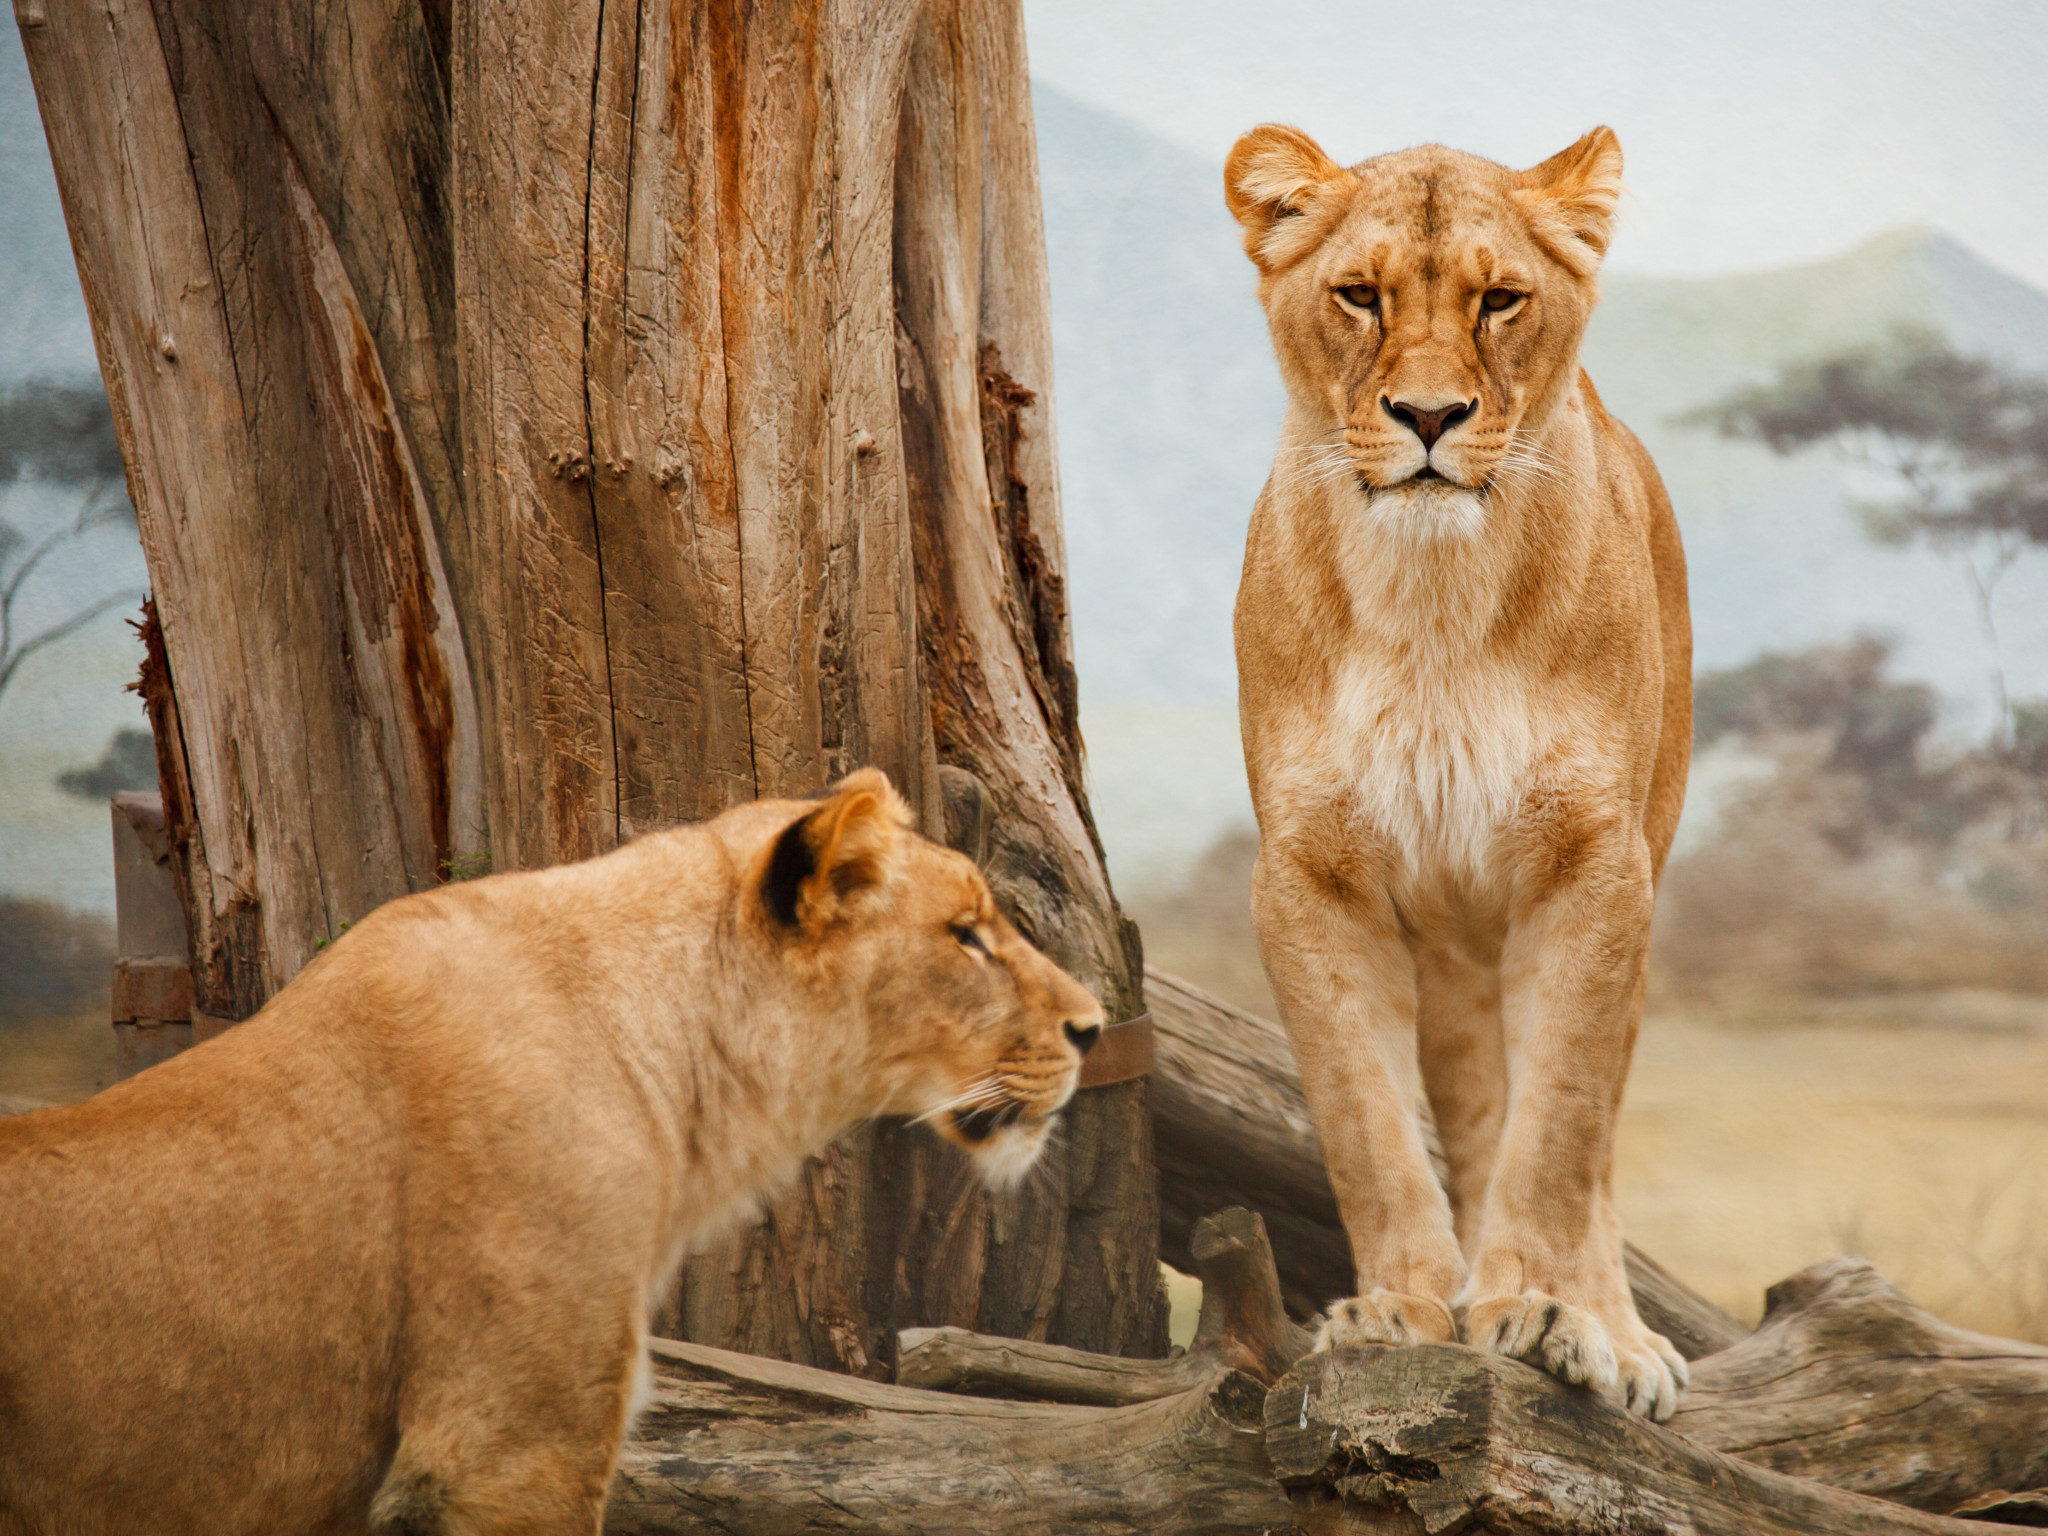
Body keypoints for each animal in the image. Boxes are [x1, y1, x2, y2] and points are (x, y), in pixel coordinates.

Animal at [1225, 125, 1693, 1419]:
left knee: (1589, 1136)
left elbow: (1558, 1132)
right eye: (1357, 295)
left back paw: (1614, 1335)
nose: (1428, 415)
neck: (1430, 596)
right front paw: (1396, 1307)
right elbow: (1364, 1120)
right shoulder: (1308, 879)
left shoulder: (1592, 869)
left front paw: (1539, 1311)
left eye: (1498, 300)